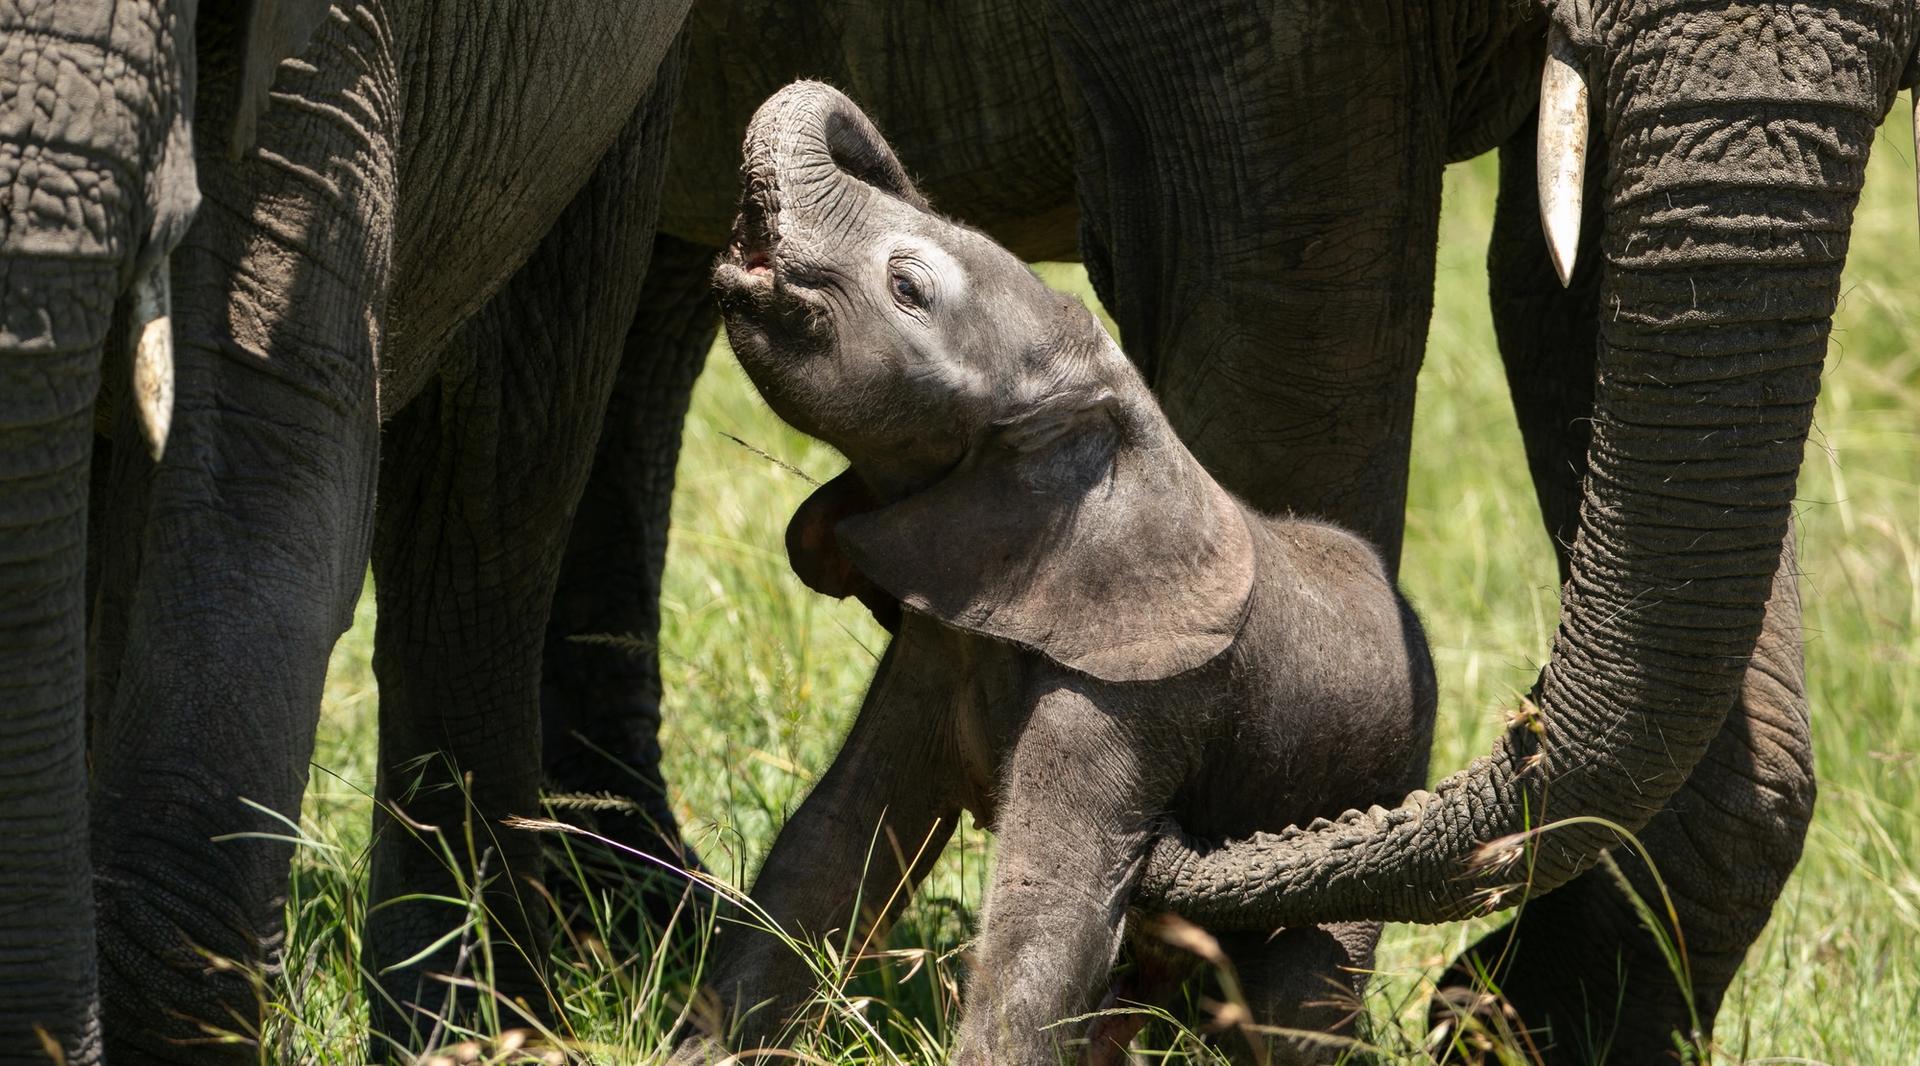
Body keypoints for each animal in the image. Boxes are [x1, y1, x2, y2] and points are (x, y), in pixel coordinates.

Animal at [670, 82, 1436, 1065]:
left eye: (906, 287)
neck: (1107, 428)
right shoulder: (949, 621)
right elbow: (836, 839)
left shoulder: (1137, 698)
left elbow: (1047, 915)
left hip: (1375, 782)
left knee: (1300, 1000)